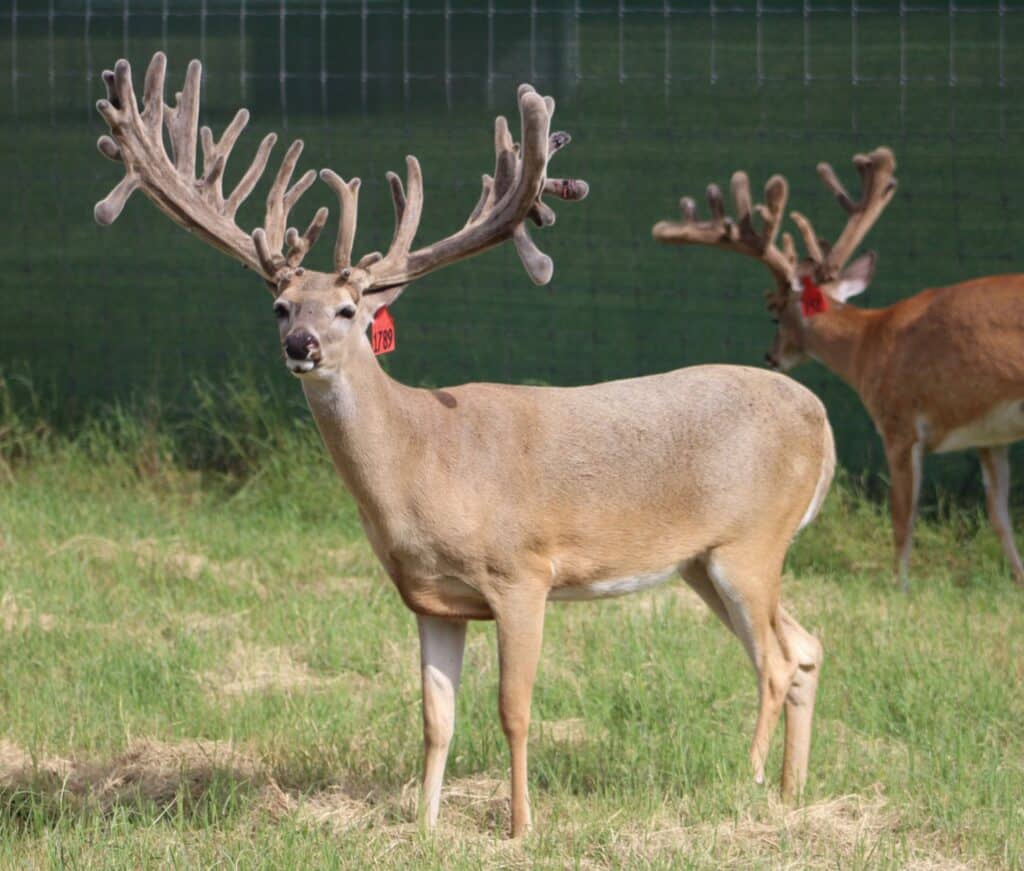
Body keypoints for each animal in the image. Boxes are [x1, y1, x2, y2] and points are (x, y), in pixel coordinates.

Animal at [94, 52, 835, 837]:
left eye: (349, 310)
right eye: (280, 306)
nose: (301, 346)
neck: (424, 460)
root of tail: (822, 420)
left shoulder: (523, 572)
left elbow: (513, 710)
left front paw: (519, 825)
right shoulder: (430, 598)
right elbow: (435, 718)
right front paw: (424, 826)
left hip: (750, 541)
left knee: (776, 662)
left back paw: (748, 779)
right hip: (702, 561)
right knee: (804, 647)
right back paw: (790, 794)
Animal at [654, 147, 1024, 591]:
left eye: (774, 312)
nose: (770, 356)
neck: (868, 344)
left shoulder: (898, 421)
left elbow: (903, 517)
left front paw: (899, 586)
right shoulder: (989, 434)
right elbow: (999, 516)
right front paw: (1019, 579)